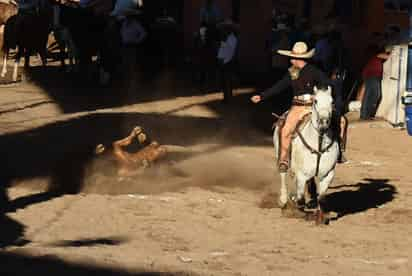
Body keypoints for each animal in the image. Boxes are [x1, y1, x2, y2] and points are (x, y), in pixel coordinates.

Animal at [274, 85, 338, 224]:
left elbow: (322, 198)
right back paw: (283, 200)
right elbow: (300, 199)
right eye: (316, 101)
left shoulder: (328, 174)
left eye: (332, 102)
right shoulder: (301, 175)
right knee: (283, 173)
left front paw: (321, 218)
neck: (318, 142)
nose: (324, 122)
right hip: (280, 154)